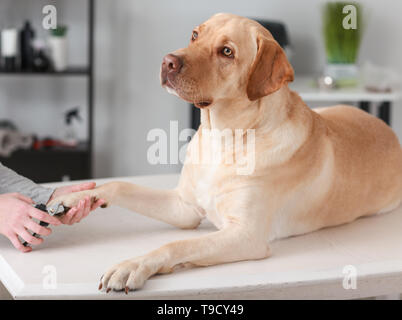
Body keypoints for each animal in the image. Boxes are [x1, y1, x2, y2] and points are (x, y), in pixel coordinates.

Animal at [51, 13, 402, 292]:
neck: (223, 138)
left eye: (227, 52)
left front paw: (133, 265)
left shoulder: (246, 236)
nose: (167, 61)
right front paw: (73, 197)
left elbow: (176, 243)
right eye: (195, 35)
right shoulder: (183, 208)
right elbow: (120, 185)